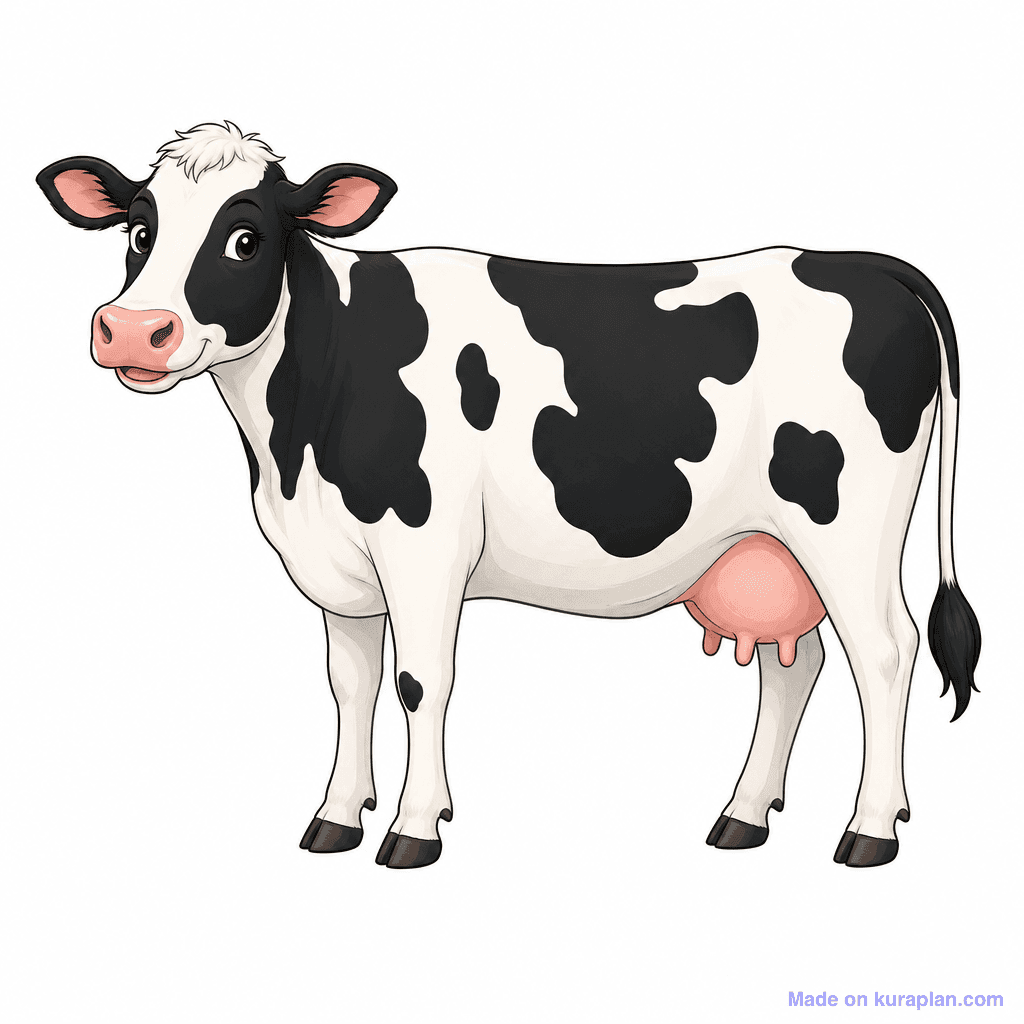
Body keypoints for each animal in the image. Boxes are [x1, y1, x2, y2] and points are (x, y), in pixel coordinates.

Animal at [37, 121, 981, 869]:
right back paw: (743, 817)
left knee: (886, 652)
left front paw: (414, 828)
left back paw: (870, 830)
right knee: (800, 665)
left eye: (245, 238)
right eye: (138, 228)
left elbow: (418, 681)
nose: (132, 331)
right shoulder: (340, 566)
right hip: (772, 543)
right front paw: (336, 817)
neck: (296, 445)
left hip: (851, 530)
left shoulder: (423, 548)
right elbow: (350, 685)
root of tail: (857, 261)